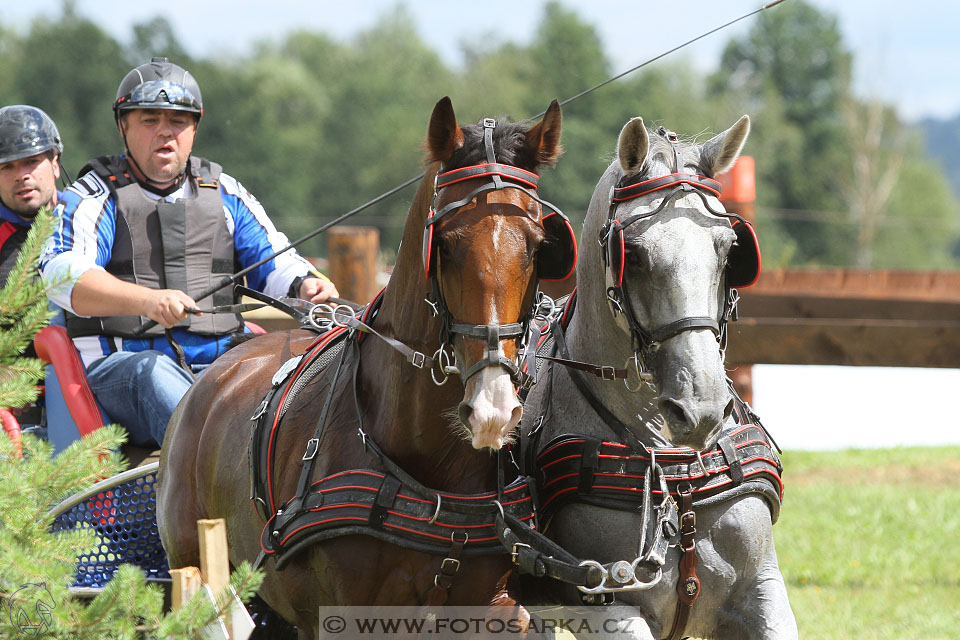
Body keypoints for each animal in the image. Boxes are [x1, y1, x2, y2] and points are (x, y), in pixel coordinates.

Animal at [161, 97, 572, 636]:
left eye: (539, 246)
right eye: (445, 244)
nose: (492, 409)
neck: (430, 471)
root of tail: (211, 377)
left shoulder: (491, 606)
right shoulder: (345, 614)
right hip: (192, 566)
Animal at [520, 116, 800, 640]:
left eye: (730, 250)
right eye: (635, 255)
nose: (700, 410)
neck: (677, 470)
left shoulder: (762, 591)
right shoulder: (606, 605)